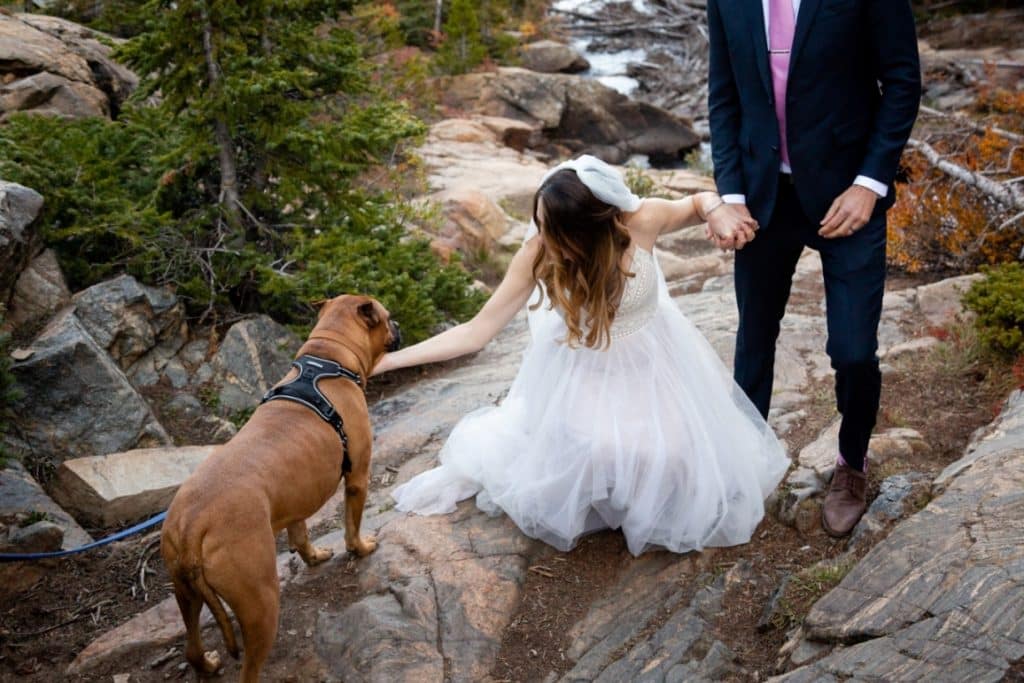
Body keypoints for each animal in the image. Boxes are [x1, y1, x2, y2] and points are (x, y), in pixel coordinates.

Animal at [161, 296, 397, 679]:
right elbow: (352, 526)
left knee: (191, 646)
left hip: (186, 593)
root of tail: (193, 524)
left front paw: (314, 557)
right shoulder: (358, 477)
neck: (326, 357)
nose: (399, 326)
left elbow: (300, 535)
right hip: (260, 604)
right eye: (388, 318)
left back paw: (207, 663)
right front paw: (361, 548)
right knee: (249, 669)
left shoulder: (296, 496)